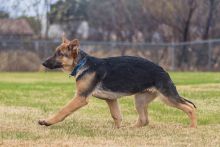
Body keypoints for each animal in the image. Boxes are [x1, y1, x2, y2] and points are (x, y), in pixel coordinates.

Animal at [38, 36, 197, 128]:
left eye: (59, 54)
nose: (43, 63)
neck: (81, 64)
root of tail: (163, 70)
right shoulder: (111, 99)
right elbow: (116, 116)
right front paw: (117, 130)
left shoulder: (81, 98)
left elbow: (63, 110)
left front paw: (48, 121)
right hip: (140, 100)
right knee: (144, 120)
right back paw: (130, 129)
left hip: (167, 98)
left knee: (190, 108)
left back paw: (192, 127)